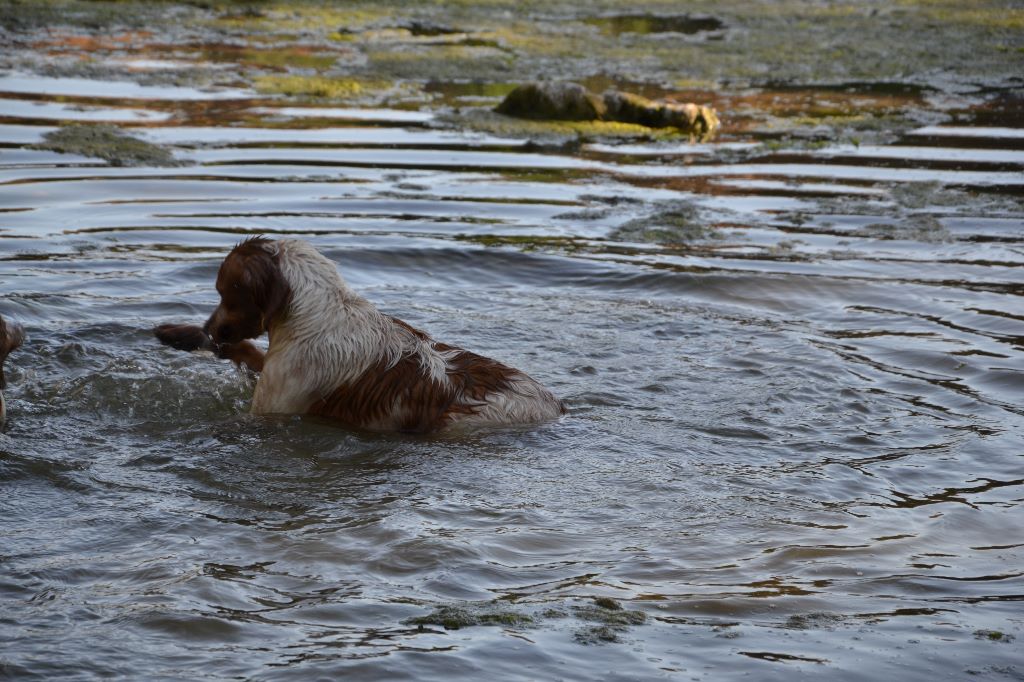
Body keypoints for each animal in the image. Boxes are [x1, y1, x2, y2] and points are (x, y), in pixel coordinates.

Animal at [155, 237, 565, 430]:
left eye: (225, 292)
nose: (210, 328)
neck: (317, 314)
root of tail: (557, 407)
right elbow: (247, 352)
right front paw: (180, 335)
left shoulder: (275, 405)